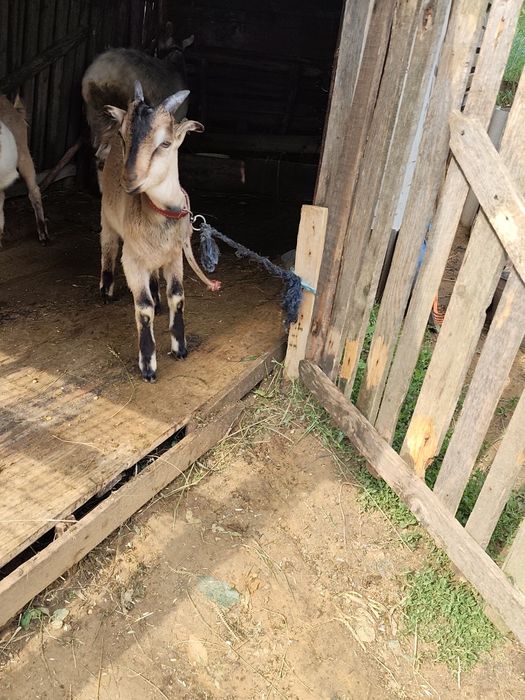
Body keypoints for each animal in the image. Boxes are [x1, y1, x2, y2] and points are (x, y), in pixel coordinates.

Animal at [93, 80, 220, 382]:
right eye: (124, 136)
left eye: (165, 143)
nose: (130, 179)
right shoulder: (132, 260)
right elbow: (143, 309)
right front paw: (148, 366)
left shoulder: (175, 256)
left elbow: (178, 296)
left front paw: (179, 347)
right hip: (107, 217)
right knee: (108, 247)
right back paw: (106, 289)